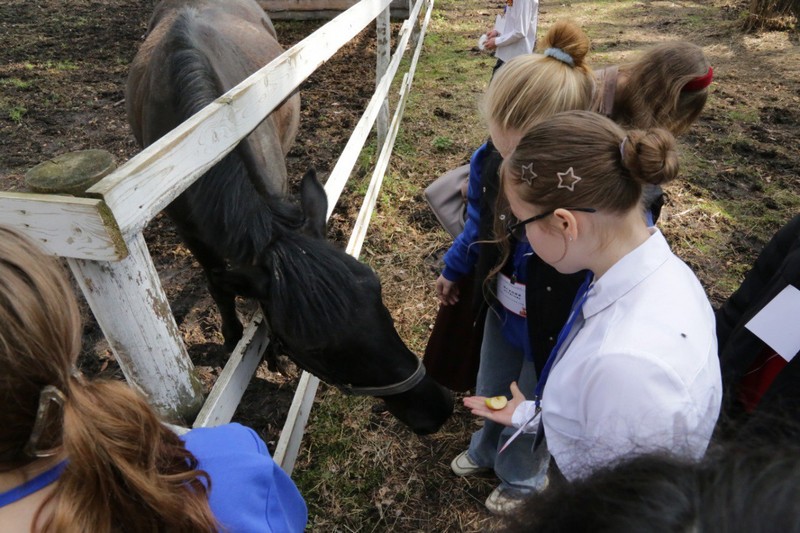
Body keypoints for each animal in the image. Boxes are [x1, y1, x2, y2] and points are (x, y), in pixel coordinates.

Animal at [125, 0, 453, 434]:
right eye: (316, 347)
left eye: (376, 288)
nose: (437, 407)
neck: (201, 141)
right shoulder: (191, 233)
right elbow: (217, 286)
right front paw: (232, 337)